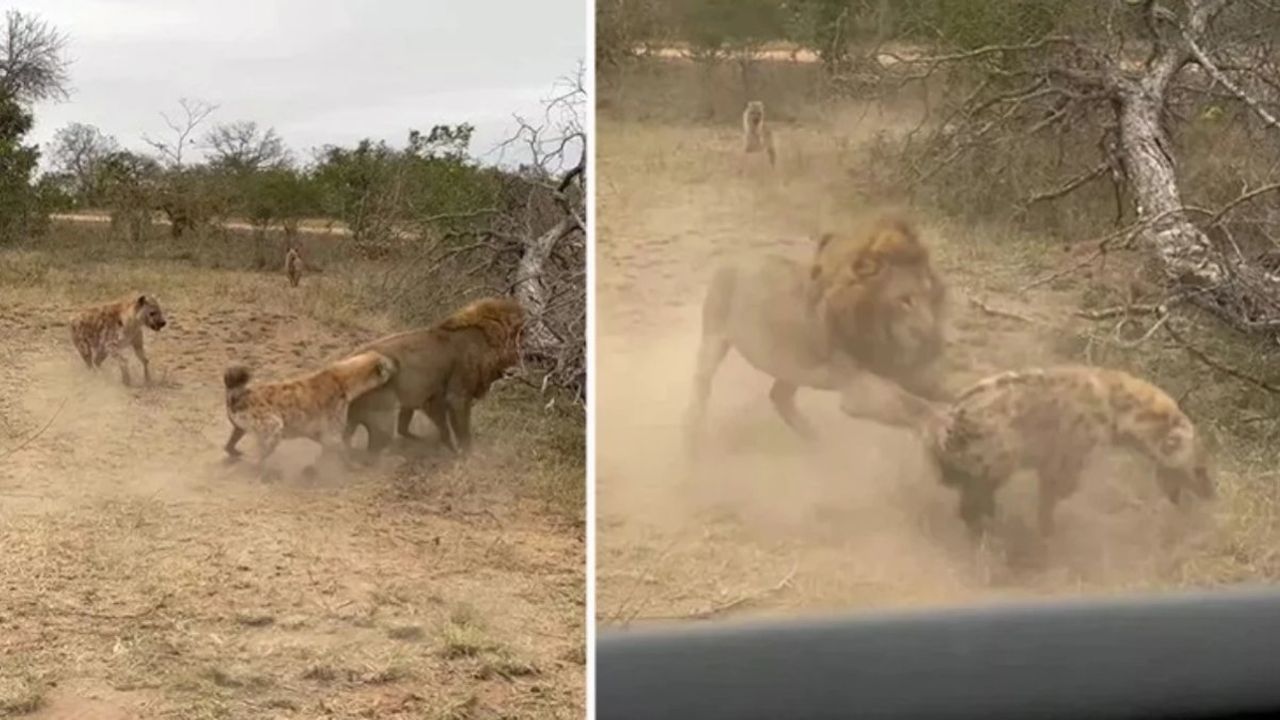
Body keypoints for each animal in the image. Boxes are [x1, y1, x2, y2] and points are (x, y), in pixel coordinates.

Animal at [224, 351, 394, 479]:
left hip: (241, 427)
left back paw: (238, 455)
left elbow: (327, 447)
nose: (395, 364)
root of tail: (236, 397)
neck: (345, 382)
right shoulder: (332, 427)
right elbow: (341, 448)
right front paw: (354, 467)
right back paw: (267, 473)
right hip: (274, 426)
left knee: (229, 445)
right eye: (389, 364)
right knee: (258, 458)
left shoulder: (315, 430)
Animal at [340, 295, 524, 453]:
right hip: (382, 418)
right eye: (516, 338)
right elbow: (462, 432)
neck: (484, 343)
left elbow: (444, 431)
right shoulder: (457, 396)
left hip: (365, 414)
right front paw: (466, 455)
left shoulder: (431, 400)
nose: (517, 365)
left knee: (356, 437)